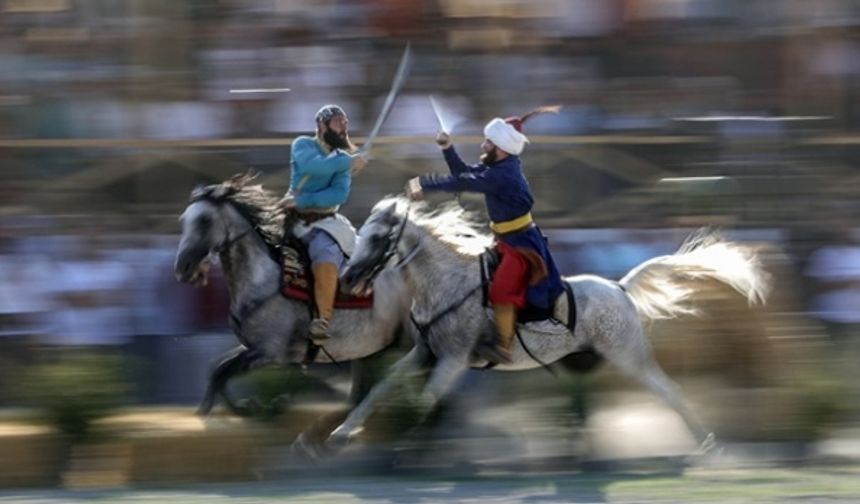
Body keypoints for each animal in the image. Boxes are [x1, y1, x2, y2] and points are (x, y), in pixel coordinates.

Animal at [172, 175, 414, 432]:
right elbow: (217, 367)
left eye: (204, 220)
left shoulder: (269, 353)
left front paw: (233, 409)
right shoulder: (254, 346)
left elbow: (223, 370)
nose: (183, 268)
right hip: (370, 351)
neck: (263, 281)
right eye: (184, 220)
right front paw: (243, 407)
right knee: (360, 394)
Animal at [326, 197, 768, 452]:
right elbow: (385, 386)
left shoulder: (452, 359)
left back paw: (705, 442)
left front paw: (407, 442)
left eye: (378, 238)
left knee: (669, 390)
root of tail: (620, 287)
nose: (347, 278)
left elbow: (424, 399)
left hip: (630, 358)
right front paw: (344, 432)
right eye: (362, 232)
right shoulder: (425, 353)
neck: (447, 280)